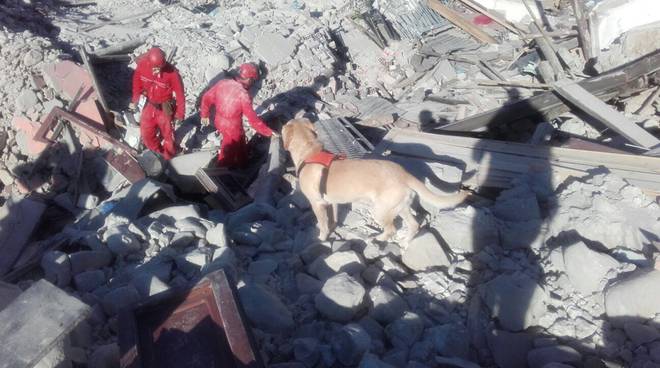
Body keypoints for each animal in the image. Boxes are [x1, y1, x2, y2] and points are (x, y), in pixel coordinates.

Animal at [282, 118, 466, 244]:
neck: (309, 151)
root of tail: (404, 174)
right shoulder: (333, 201)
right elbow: (332, 218)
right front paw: (333, 227)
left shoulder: (317, 203)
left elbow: (323, 223)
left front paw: (322, 238)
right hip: (400, 207)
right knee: (414, 225)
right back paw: (405, 242)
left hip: (379, 210)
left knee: (391, 229)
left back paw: (377, 239)